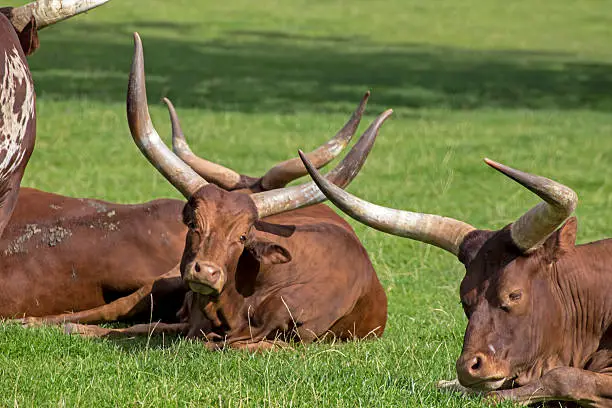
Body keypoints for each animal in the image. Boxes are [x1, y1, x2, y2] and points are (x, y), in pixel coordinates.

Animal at [56, 33, 388, 350]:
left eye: (242, 237)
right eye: (192, 224)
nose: (206, 273)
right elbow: (138, 327)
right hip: (165, 280)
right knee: (110, 310)